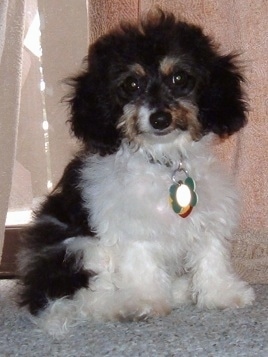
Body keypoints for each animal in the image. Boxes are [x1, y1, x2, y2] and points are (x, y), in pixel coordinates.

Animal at [17, 10, 254, 334]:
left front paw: (221, 294)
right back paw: (124, 306)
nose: (159, 118)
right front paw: (147, 302)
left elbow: (211, 255)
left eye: (180, 78)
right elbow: (141, 265)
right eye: (131, 84)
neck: (164, 161)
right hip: (77, 247)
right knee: (84, 299)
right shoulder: (130, 225)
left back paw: (181, 289)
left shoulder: (208, 215)